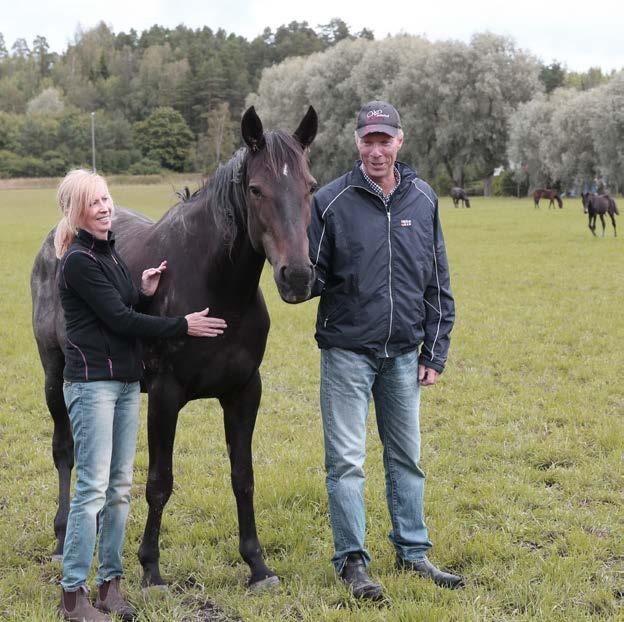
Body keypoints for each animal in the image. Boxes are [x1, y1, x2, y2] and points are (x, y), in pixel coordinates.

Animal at [31, 106, 320, 588]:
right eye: (256, 189)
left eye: (311, 186)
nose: (297, 276)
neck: (217, 289)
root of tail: (57, 236)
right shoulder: (166, 396)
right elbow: (159, 482)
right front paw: (150, 567)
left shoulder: (244, 393)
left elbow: (242, 475)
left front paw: (257, 564)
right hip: (57, 379)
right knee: (65, 451)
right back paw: (61, 537)